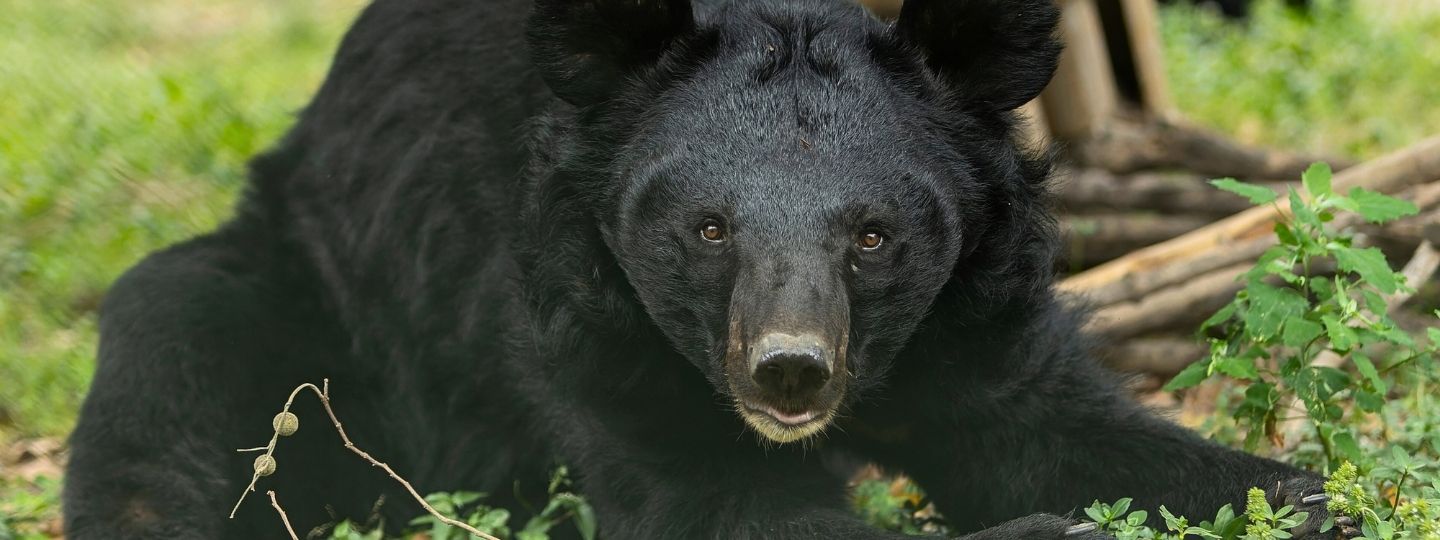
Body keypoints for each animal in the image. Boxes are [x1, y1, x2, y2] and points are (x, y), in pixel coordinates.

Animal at [63, 0, 1349, 538]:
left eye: (873, 235)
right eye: (708, 229)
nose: (789, 373)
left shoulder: (976, 312)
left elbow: (1055, 433)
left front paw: (1301, 502)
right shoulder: (579, 321)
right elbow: (707, 499)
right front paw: (1055, 536)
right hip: (316, 303)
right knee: (166, 371)